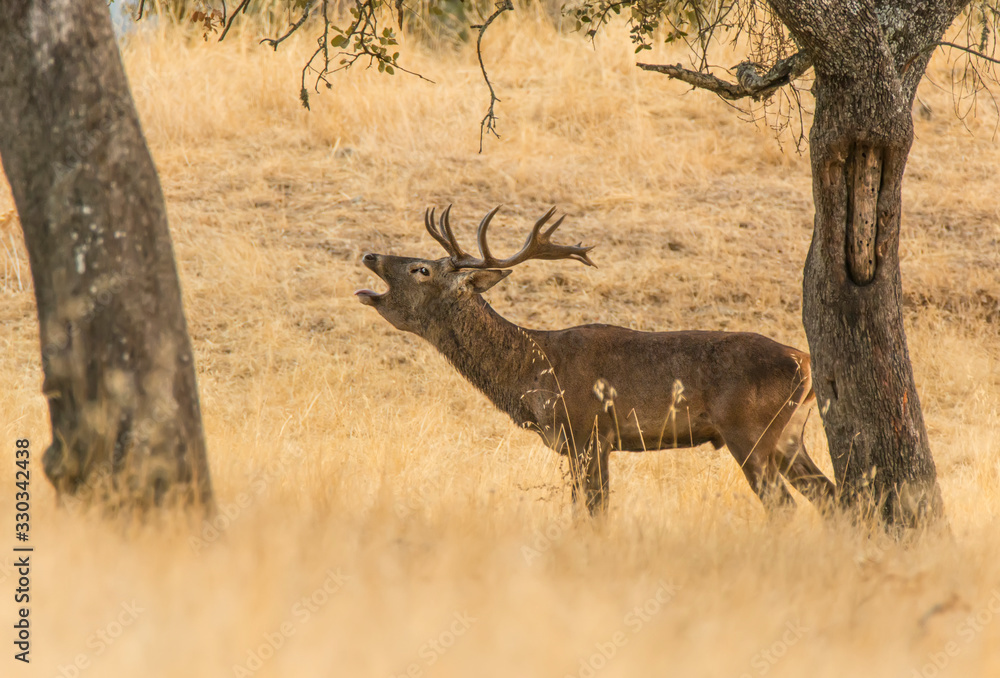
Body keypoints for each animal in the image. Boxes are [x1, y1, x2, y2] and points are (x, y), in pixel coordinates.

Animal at [356, 206, 835, 515]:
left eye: (421, 269)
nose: (369, 254)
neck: (533, 373)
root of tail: (807, 363)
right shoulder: (585, 441)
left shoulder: (587, 430)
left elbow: (593, 509)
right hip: (790, 434)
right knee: (828, 495)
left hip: (749, 428)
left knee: (784, 505)